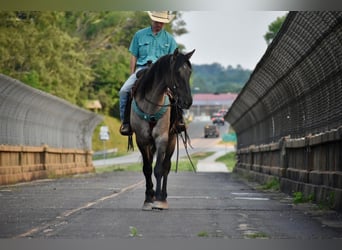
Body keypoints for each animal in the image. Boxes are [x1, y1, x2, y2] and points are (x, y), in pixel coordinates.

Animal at [130, 47, 195, 210]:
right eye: (177, 72)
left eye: (189, 72)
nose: (188, 101)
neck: (151, 104)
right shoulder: (142, 139)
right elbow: (147, 168)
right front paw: (148, 198)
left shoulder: (162, 138)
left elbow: (159, 168)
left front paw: (158, 200)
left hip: (172, 139)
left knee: (166, 166)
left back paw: (163, 197)